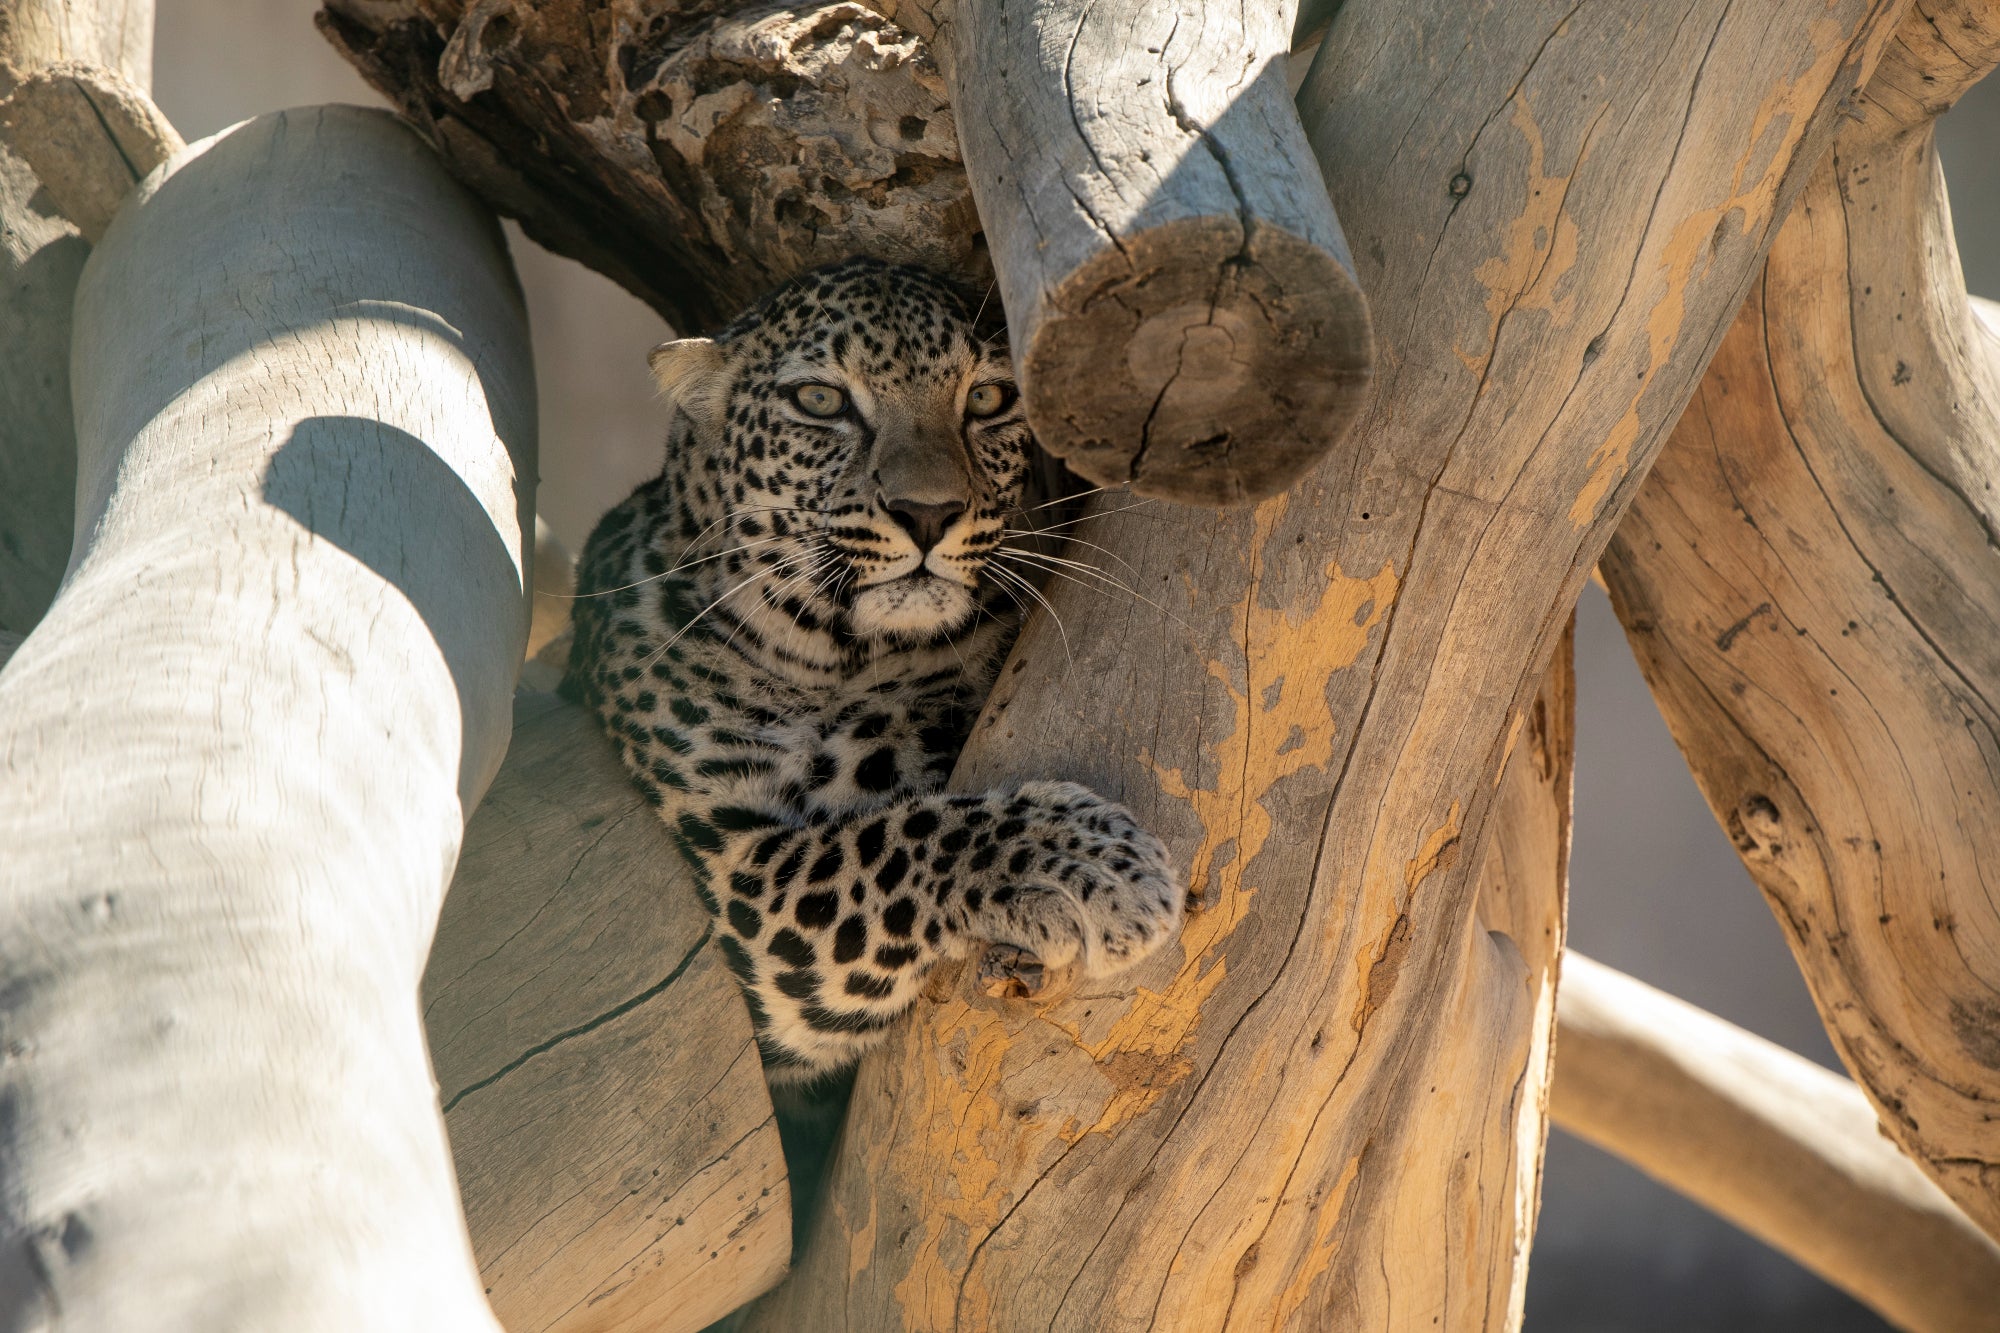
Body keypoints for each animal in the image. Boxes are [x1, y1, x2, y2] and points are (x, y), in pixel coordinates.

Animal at [564, 254, 1184, 1088]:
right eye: (821, 401)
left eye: (987, 399)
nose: (928, 513)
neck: (833, 663)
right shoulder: (745, 870)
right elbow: (890, 839)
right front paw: (1087, 864)